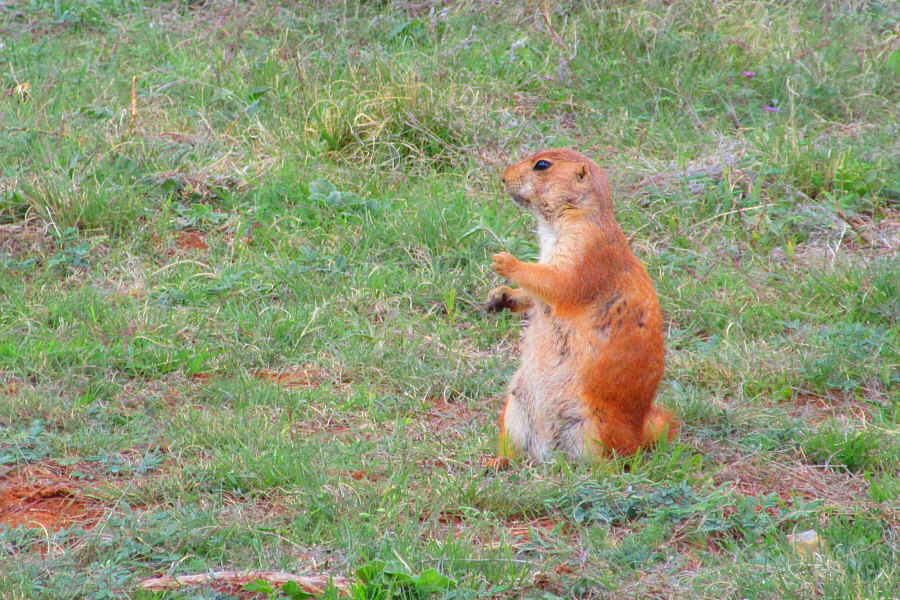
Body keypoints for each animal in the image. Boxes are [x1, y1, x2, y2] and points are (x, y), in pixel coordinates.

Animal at [486, 148, 679, 464]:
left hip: (594, 425)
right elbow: (536, 293)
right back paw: (497, 462)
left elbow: (557, 280)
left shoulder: (585, 248)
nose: (502, 177)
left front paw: (505, 261)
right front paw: (500, 296)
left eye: (542, 165)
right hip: (515, 407)